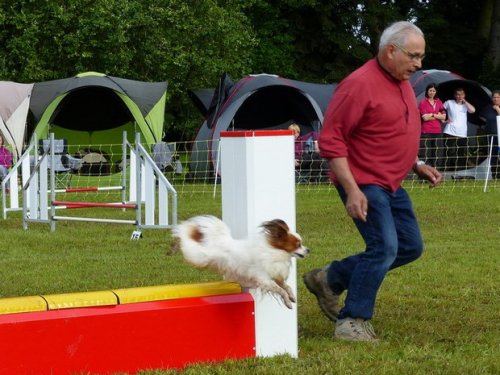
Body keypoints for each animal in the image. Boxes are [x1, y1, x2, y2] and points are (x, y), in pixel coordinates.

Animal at [174, 216, 310, 310]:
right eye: (298, 245)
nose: (308, 250)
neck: (275, 251)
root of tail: (221, 241)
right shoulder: (264, 279)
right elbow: (281, 290)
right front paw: (288, 302)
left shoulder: (276, 275)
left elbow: (286, 287)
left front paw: (292, 296)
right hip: (201, 257)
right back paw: (182, 234)